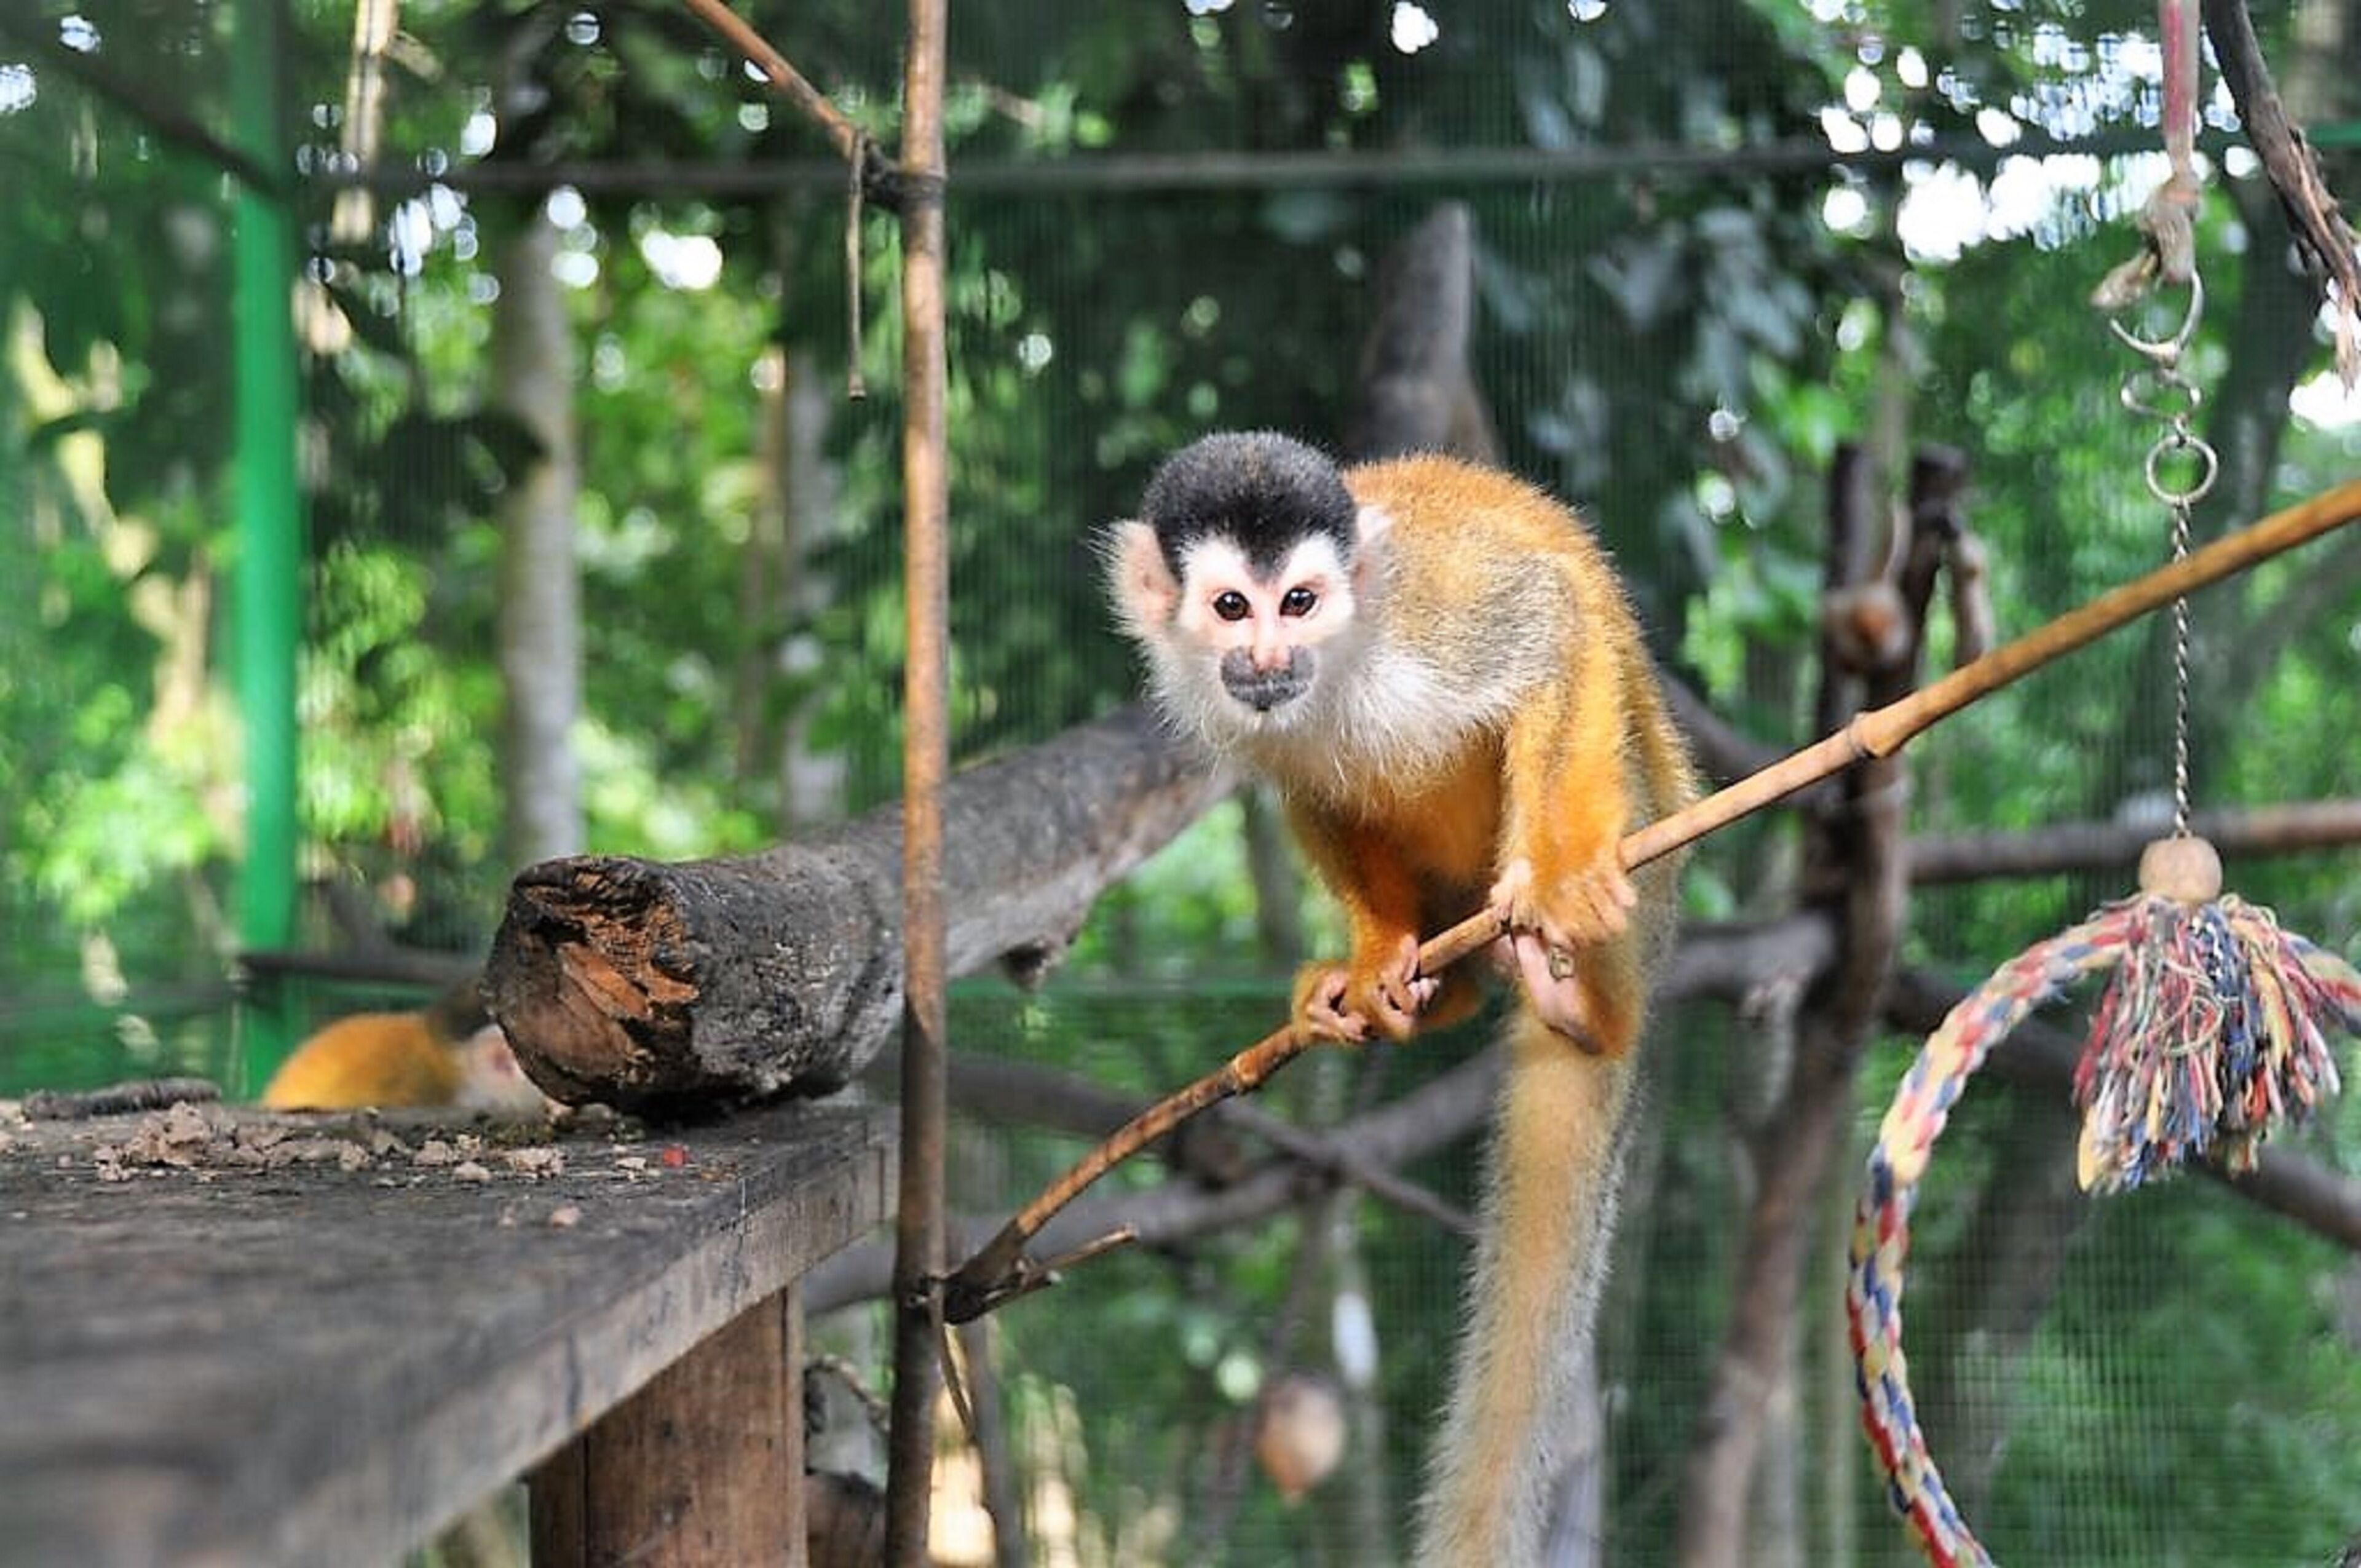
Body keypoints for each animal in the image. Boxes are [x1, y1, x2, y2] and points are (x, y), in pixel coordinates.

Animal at [1104, 430, 1698, 1567]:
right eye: (1233, 608)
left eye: (1299, 601)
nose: (1268, 658)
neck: (1340, 661)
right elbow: (1307, 783)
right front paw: (1377, 958)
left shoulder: (1439, 621)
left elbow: (1550, 620)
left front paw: (1560, 876)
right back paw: (1440, 988)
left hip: (1650, 852)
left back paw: (1581, 991)